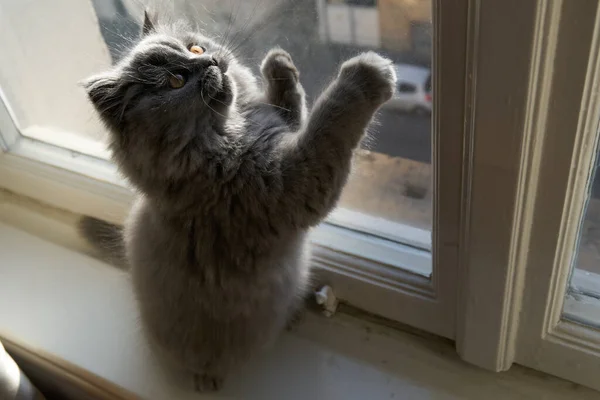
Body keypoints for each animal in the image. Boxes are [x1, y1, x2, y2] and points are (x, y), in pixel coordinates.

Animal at [81, 11, 398, 390]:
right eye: (175, 81)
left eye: (195, 48)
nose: (212, 62)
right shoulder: (294, 181)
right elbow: (330, 117)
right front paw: (366, 73)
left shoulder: (281, 134)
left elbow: (293, 108)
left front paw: (278, 64)